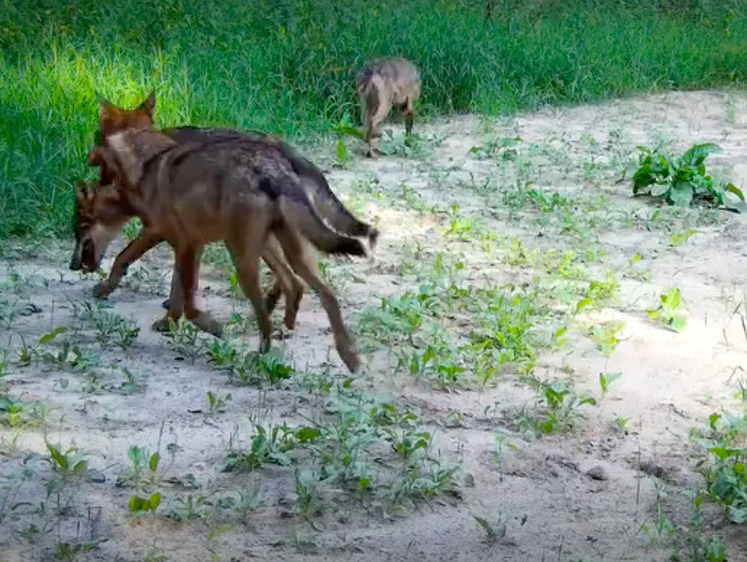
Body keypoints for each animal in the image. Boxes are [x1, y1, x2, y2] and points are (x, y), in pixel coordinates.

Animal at [90, 99, 366, 372]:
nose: (91, 167)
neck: (148, 159)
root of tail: (279, 159)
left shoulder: (173, 239)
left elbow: (130, 262)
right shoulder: (188, 244)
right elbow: (179, 290)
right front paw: (169, 321)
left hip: (244, 258)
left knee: (277, 302)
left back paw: (263, 349)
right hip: (281, 251)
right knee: (312, 290)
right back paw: (343, 353)